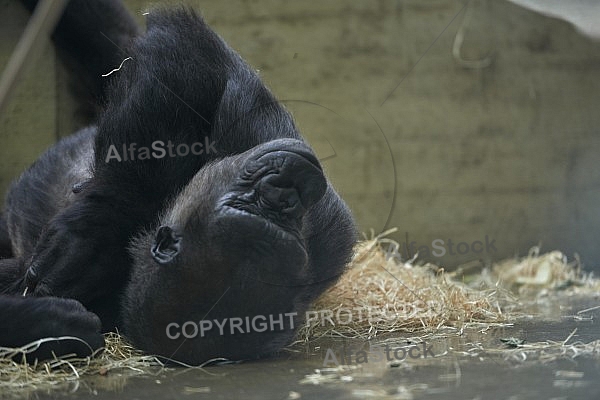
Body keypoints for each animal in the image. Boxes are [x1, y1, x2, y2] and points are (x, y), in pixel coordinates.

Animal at [0, 0, 356, 364]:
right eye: (252, 204)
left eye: (285, 219)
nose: (288, 191)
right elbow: (183, 62)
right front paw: (98, 229)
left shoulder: (325, 235)